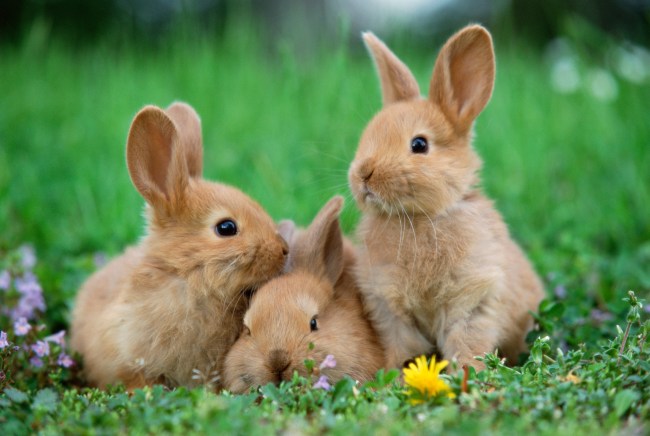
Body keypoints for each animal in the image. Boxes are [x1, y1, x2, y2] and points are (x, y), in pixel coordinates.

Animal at [347, 25, 545, 371]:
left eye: (419, 144)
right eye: (368, 136)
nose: (363, 175)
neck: (418, 217)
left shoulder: (473, 298)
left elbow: (466, 342)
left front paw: (467, 374)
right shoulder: (389, 308)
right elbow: (403, 347)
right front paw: (396, 374)